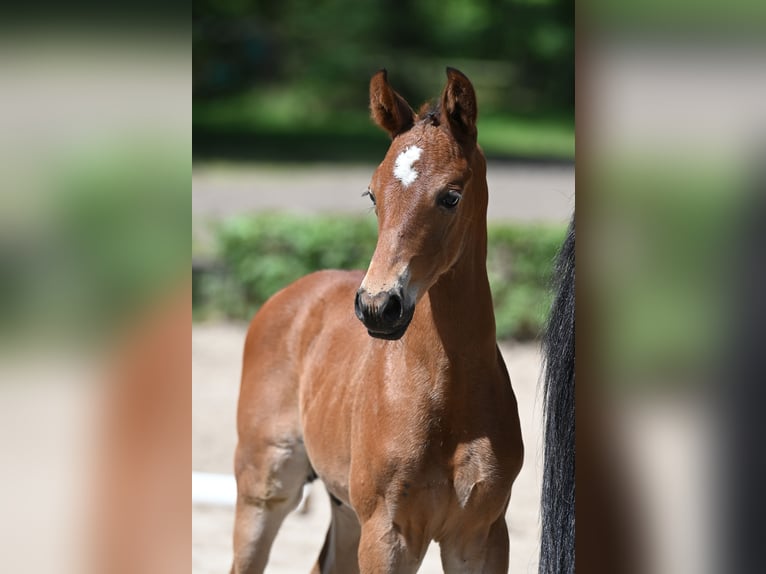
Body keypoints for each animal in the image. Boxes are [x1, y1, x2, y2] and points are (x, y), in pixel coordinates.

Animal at [231, 68, 524, 574]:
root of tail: (292, 293)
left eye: (451, 196)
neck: (447, 390)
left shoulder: (482, 534)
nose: (377, 306)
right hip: (265, 489)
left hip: (345, 507)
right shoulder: (388, 533)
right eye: (372, 194)